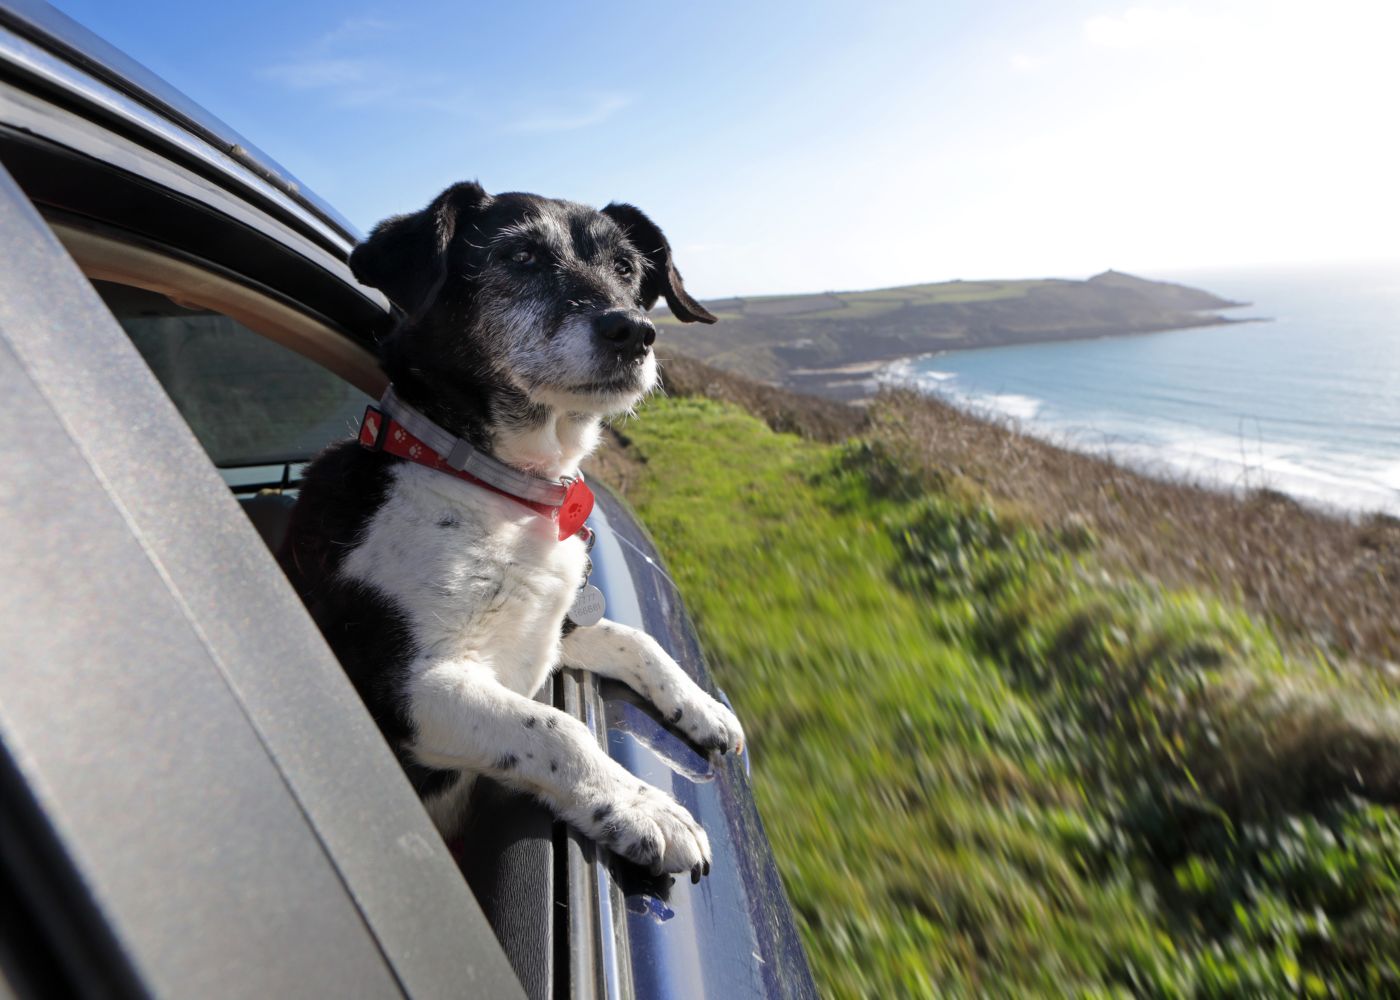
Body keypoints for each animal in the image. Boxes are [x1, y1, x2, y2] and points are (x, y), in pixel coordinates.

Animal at [280, 183, 750, 873]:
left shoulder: (548, 631)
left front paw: (702, 707)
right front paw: (646, 809)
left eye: (627, 269)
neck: (495, 487)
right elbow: (560, 730)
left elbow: (633, 640)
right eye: (521, 256)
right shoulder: (402, 686)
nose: (634, 331)